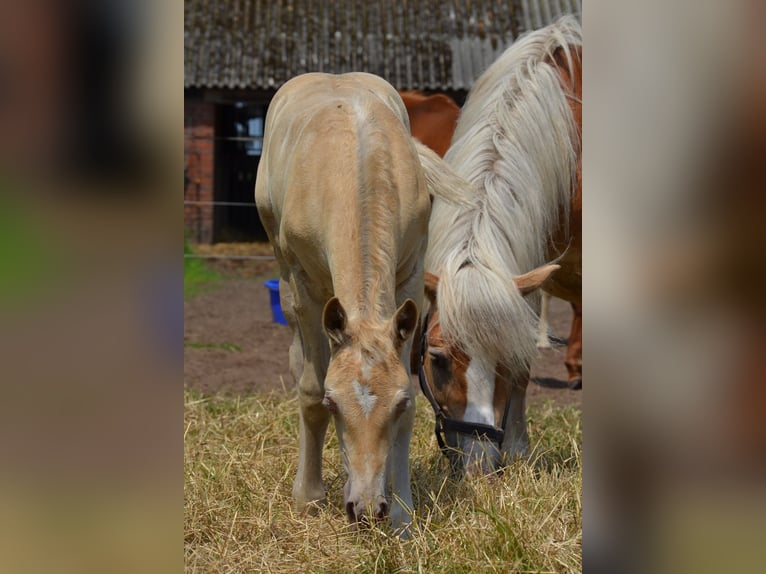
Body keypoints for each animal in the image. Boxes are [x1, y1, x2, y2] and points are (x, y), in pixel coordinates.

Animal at [256, 73, 432, 536]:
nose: (367, 510)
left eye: (399, 404)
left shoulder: (410, 273)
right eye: (335, 403)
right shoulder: (307, 285)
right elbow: (311, 389)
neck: (360, 168)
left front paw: (403, 515)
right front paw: (309, 497)